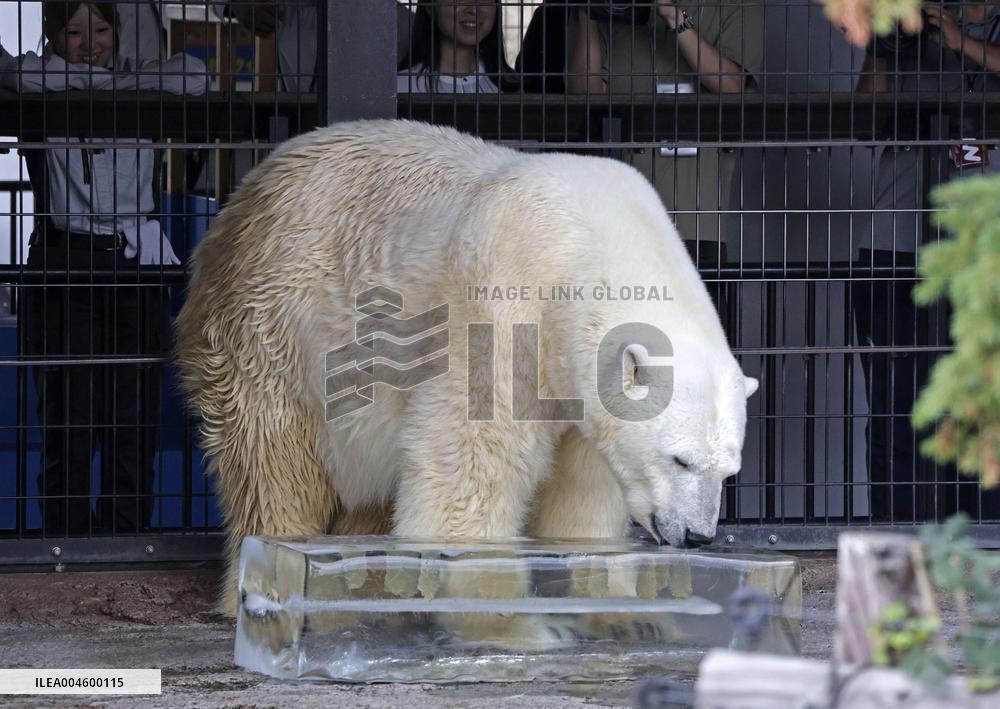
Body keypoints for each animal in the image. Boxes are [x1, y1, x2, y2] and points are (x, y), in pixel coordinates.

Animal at [175, 119, 758, 618]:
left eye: (729, 470)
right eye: (680, 459)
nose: (698, 536)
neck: (582, 239)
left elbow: (582, 486)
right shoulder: (500, 309)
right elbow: (470, 458)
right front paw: (481, 594)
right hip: (274, 322)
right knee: (271, 453)